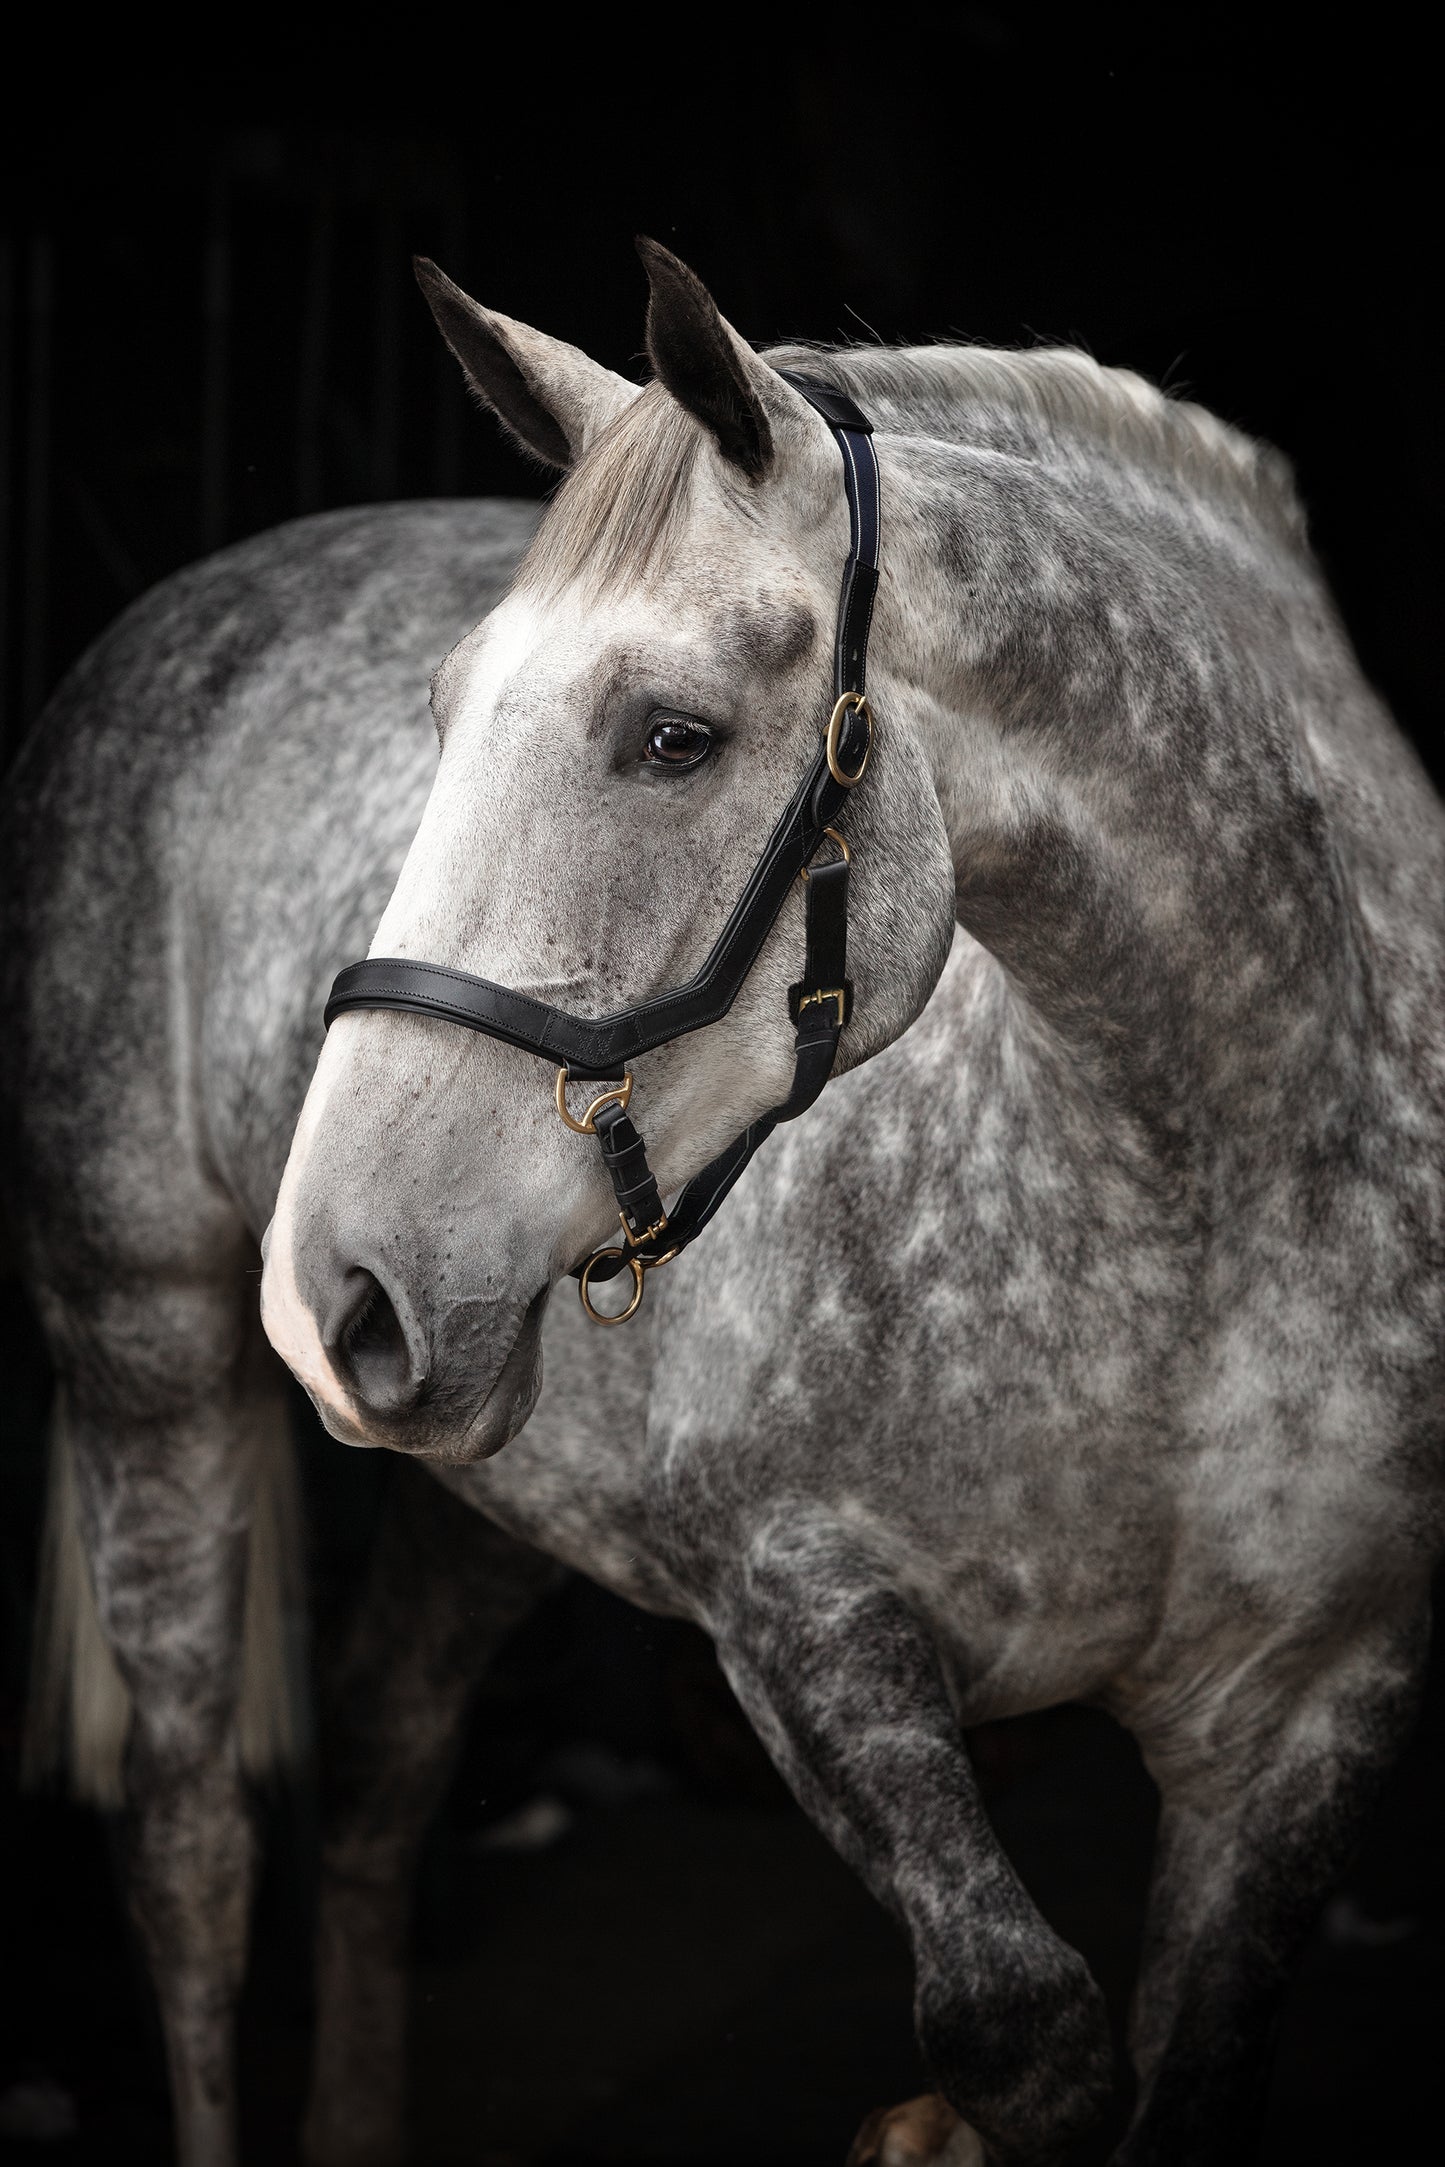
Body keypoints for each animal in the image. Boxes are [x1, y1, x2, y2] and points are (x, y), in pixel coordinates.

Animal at [2, 237, 1445, 2167]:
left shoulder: (1309, 1719)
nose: (329, 1289)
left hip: (486, 1456)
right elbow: (1026, 2033)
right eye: (440, 714)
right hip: (146, 1358)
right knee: (191, 1852)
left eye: (671, 736)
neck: (1203, 1191)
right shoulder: (795, 1612)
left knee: (384, 1759)